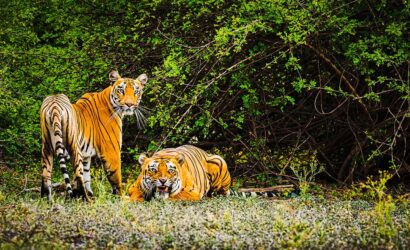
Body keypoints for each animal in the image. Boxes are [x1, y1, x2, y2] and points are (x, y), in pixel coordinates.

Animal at [40, 71, 148, 201]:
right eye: (121, 90)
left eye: (136, 91)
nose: (129, 104)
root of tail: (54, 104)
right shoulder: (111, 152)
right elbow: (116, 177)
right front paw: (121, 197)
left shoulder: (86, 155)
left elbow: (87, 176)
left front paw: (91, 193)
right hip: (74, 147)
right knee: (78, 175)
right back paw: (86, 200)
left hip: (46, 147)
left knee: (45, 174)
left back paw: (46, 199)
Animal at [126, 145, 278, 201]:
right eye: (154, 170)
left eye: (170, 171)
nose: (163, 180)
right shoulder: (133, 188)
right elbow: (135, 195)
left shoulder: (192, 192)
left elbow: (175, 196)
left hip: (219, 161)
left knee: (219, 193)